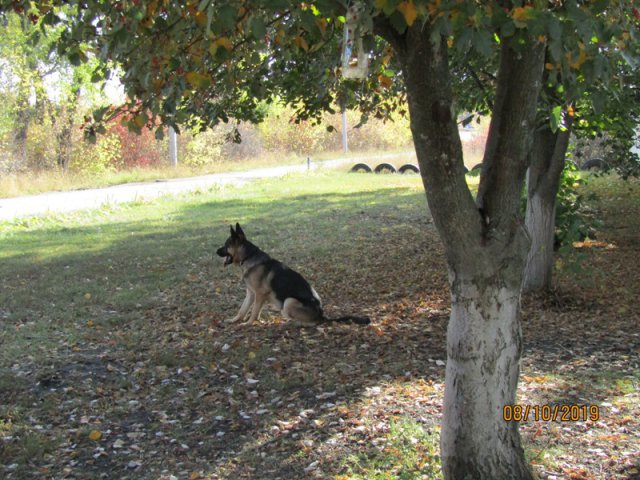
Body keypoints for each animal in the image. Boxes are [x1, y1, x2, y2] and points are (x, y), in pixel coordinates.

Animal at [219, 224, 372, 328]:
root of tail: (322, 314)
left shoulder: (260, 295)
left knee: (312, 323)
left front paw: (248, 323)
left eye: (226, 245)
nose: (216, 251)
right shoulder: (251, 293)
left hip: (289, 301)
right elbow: (242, 309)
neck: (249, 256)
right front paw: (234, 320)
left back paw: (294, 323)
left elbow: (254, 312)